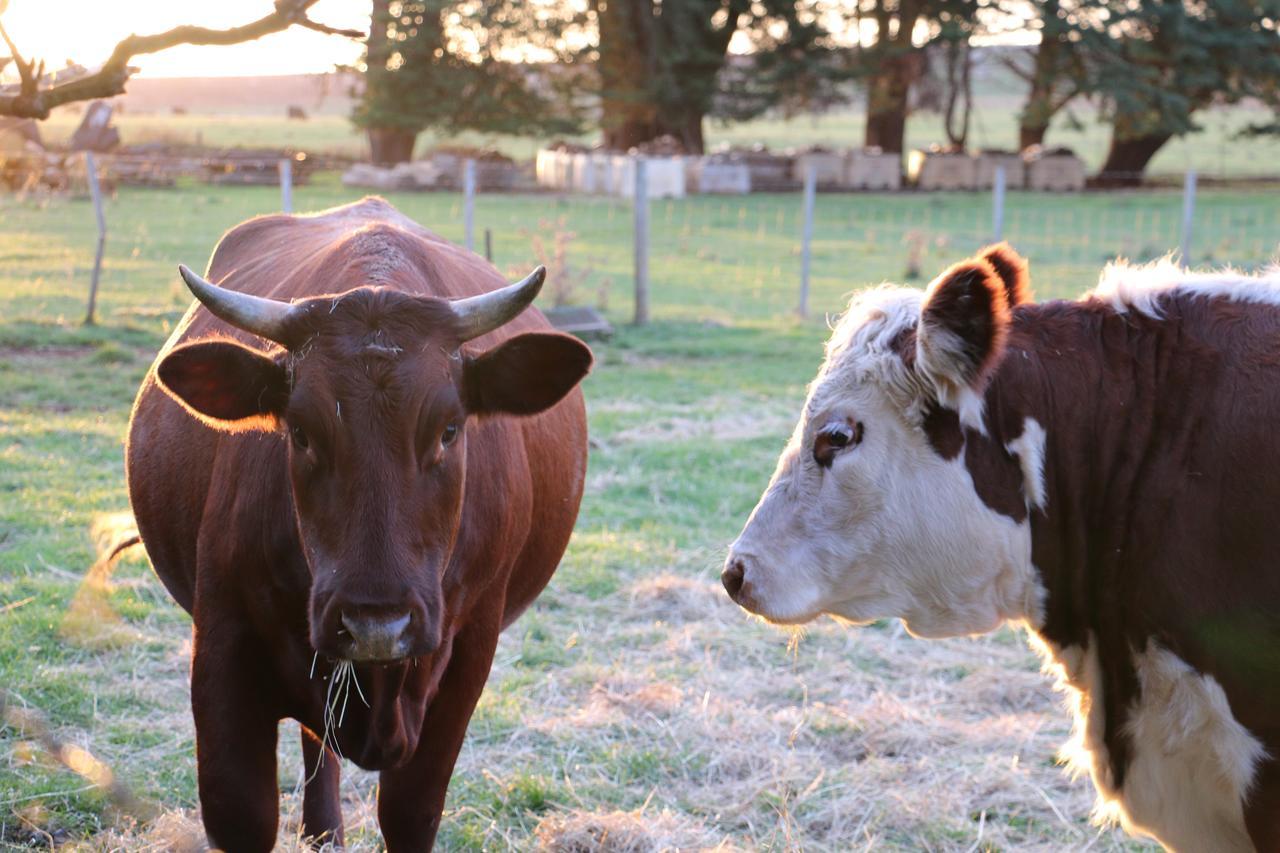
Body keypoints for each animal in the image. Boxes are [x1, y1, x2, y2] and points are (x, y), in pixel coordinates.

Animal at [124, 195, 593, 845]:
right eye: (300, 431)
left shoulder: (467, 658)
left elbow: (411, 811)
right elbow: (240, 811)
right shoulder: (222, 648)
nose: (376, 623)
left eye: (450, 429)